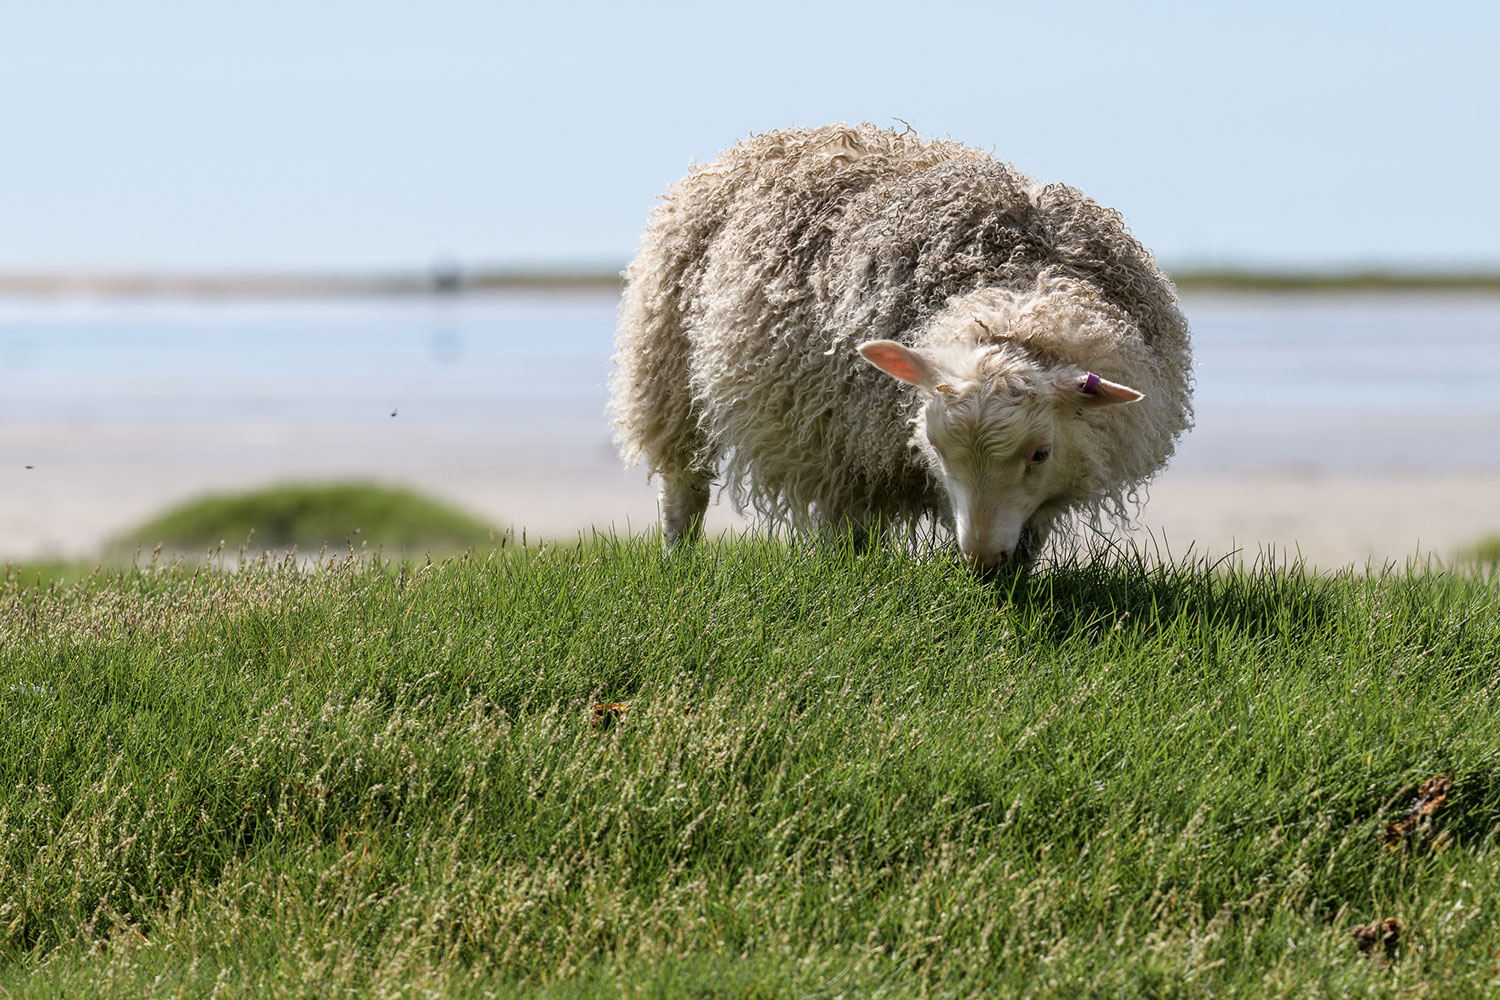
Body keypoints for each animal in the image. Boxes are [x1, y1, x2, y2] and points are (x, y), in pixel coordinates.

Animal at [609, 123, 1193, 570]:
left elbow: (1030, 535)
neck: (1017, 300)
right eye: (934, 444)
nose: (982, 562)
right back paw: (680, 560)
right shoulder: (840, 444)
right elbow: (844, 531)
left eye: (1041, 453)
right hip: (666, 370)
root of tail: (767, 139)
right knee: (683, 486)